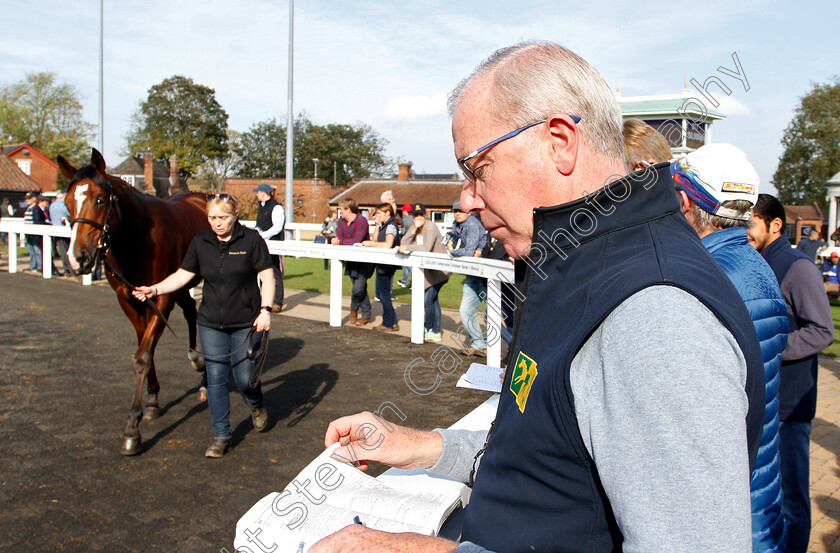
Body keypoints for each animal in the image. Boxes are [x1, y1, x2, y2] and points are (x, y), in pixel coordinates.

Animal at [57, 149, 210, 454]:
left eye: (100, 199)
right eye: (67, 202)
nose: (77, 258)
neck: (138, 238)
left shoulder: (162, 298)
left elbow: (142, 355)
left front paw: (132, 430)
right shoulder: (128, 299)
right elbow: (146, 348)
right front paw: (151, 403)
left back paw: (202, 376)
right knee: (189, 311)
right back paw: (196, 361)